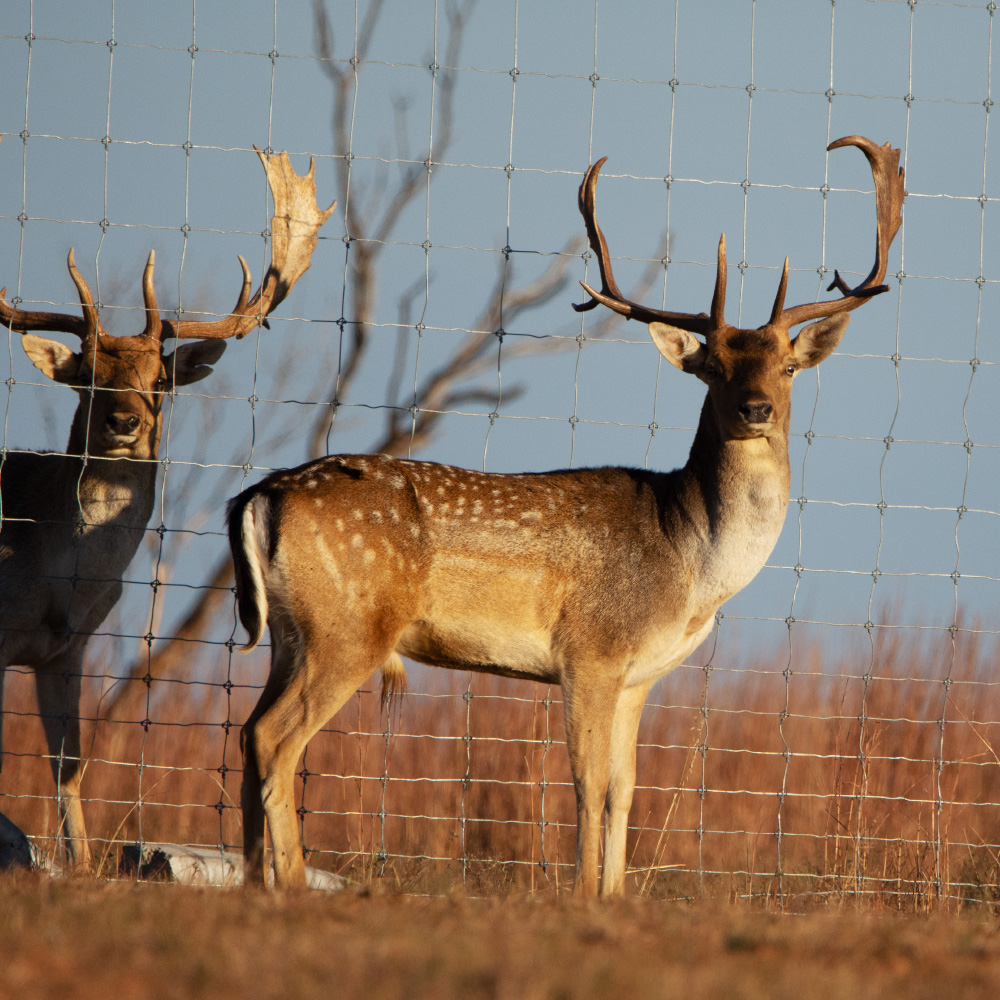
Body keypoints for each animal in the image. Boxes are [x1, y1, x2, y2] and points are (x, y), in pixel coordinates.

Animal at [0, 143, 336, 868]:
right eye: (88, 376)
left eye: (160, 380)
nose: (124, 422)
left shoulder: (67, 649)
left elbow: (70, 766)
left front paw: (81, 863)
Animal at [229, 135, 908, 900]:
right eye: (715, 367)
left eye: (788, 367)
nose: (755, 408)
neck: (689, 561)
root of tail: (262, 495)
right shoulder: (591, 651)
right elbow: (588, 785)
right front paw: (583, 894)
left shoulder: (640, 677)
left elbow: (625, 791)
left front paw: (612, 895)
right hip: (348, 627)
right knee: (275, 740)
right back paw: (288, 882)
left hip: (293, 632)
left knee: (248, 732)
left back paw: (253, 880)